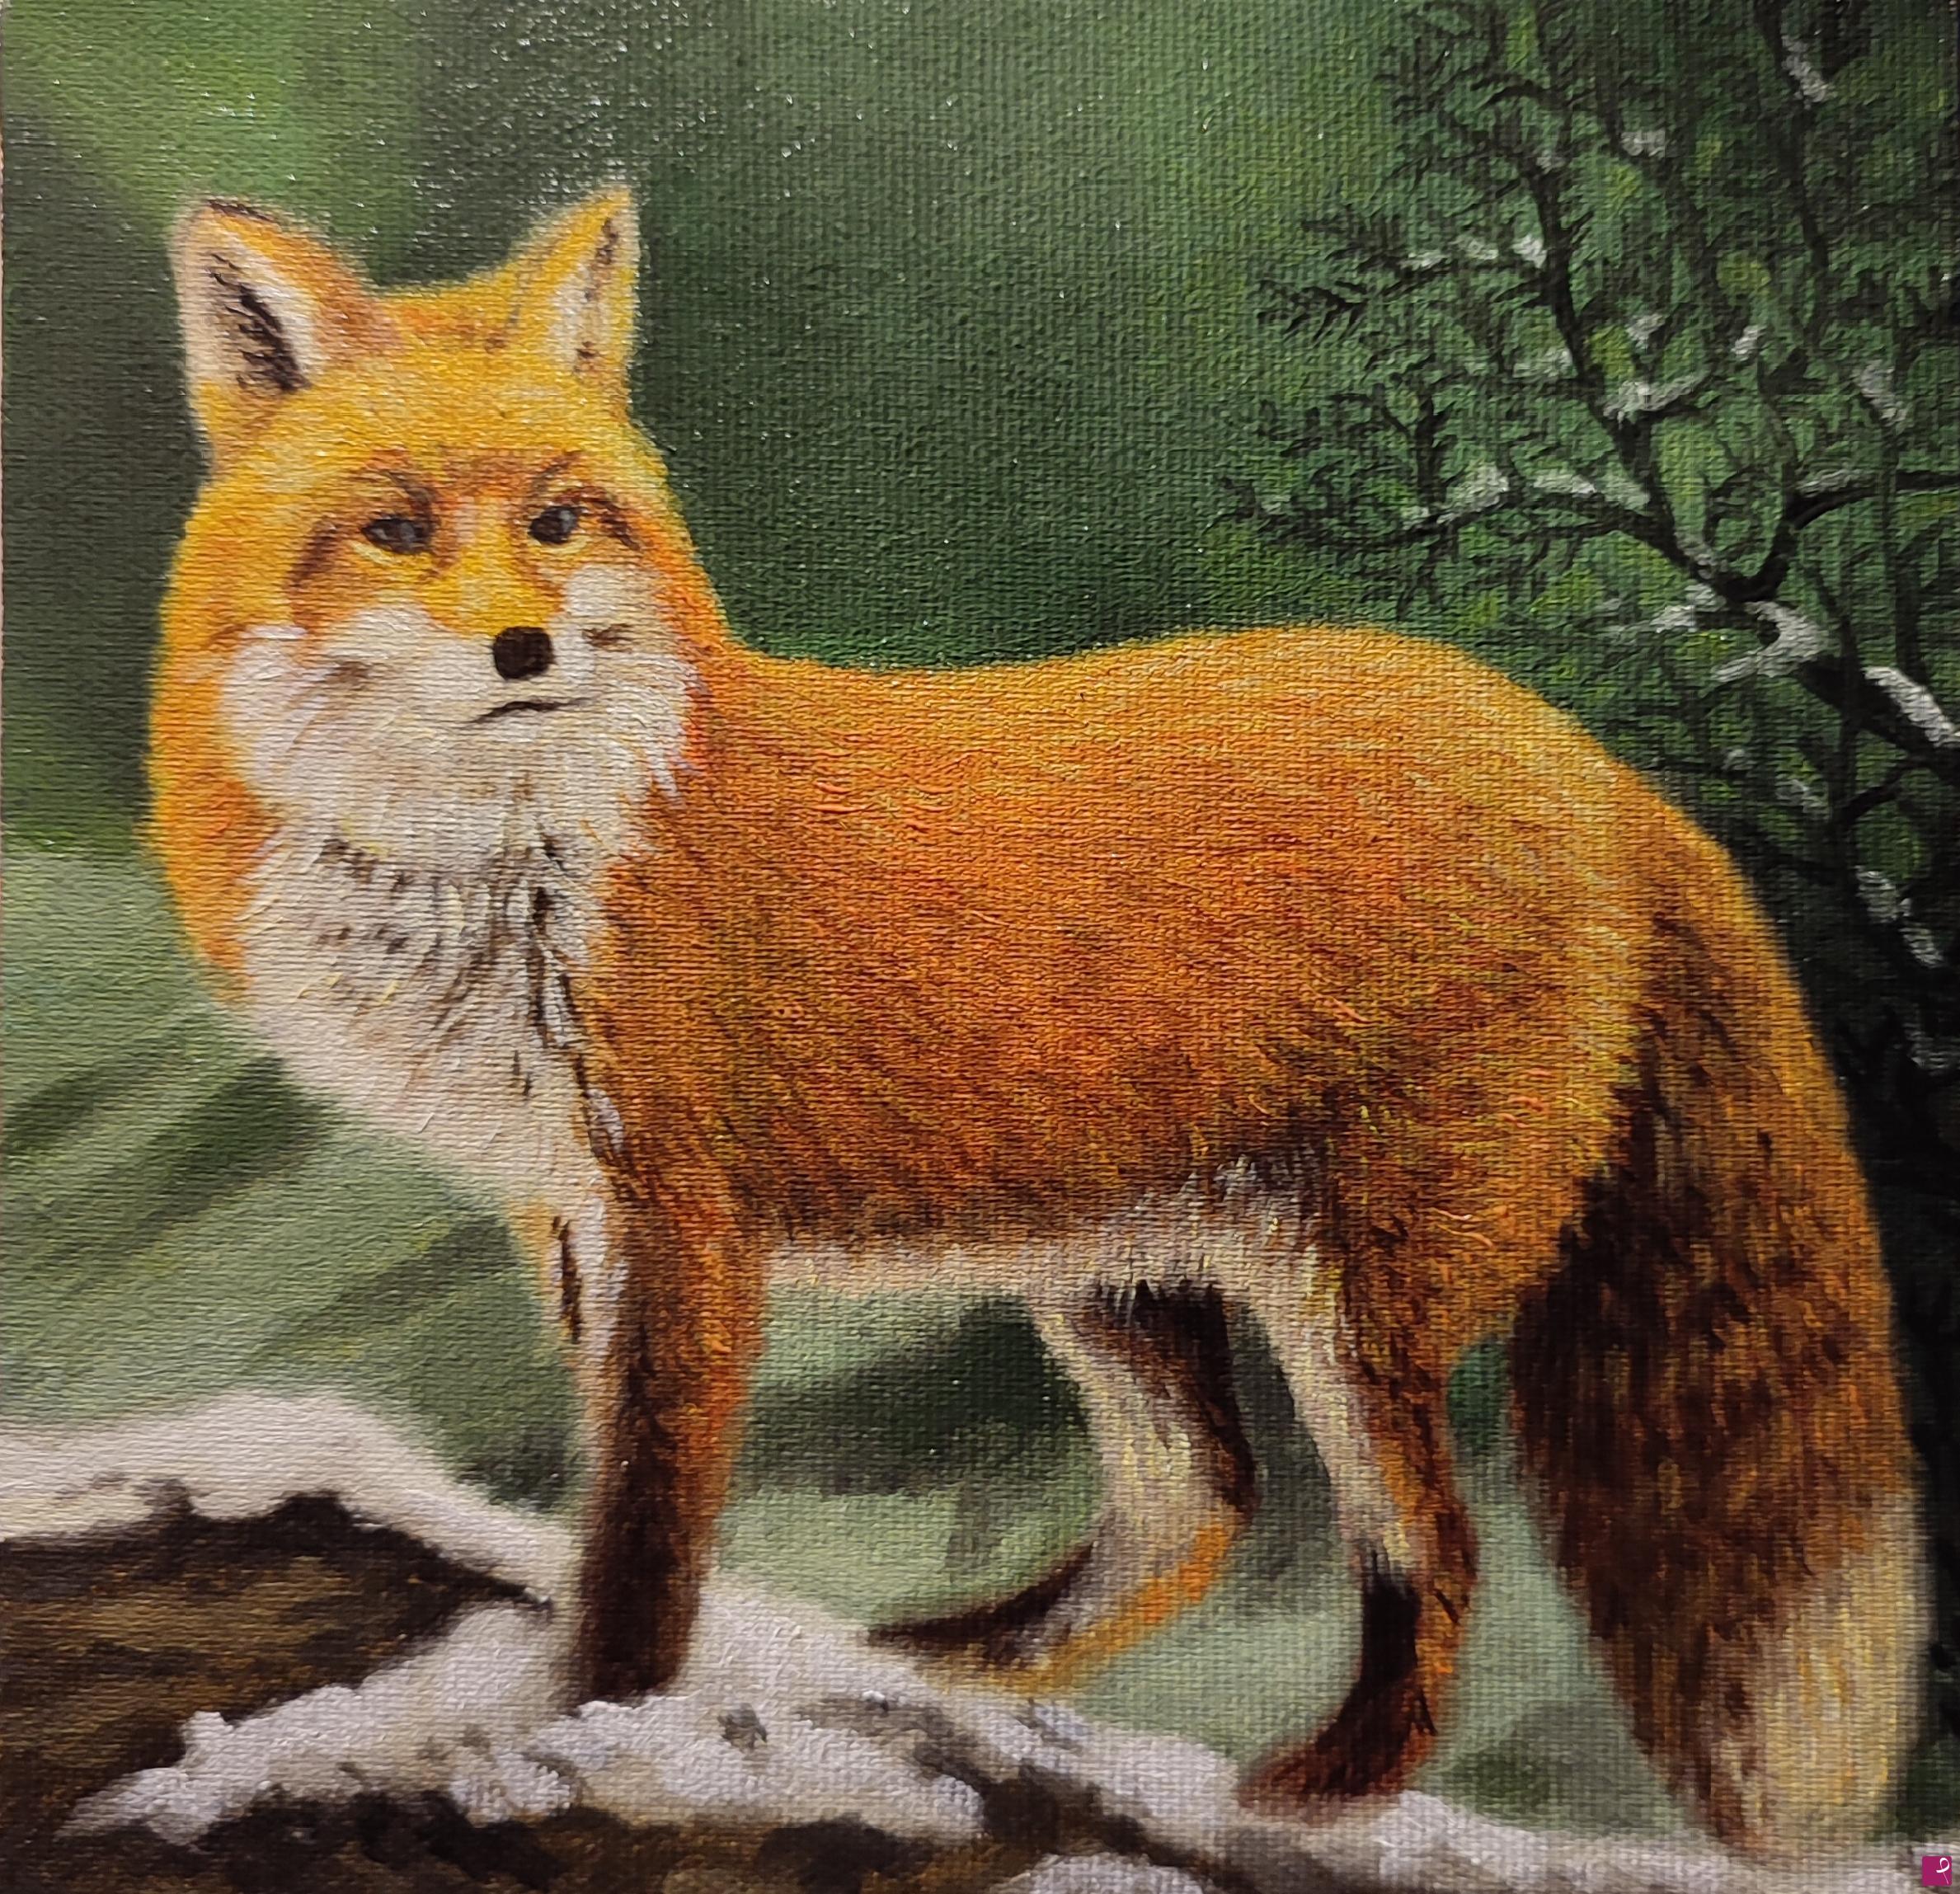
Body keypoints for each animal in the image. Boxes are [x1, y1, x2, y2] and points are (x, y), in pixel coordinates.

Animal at [149, 187, 1924, 1861]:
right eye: (393, 530)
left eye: (557, 519)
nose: (523, 644)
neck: (506, 859)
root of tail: (1589, 761)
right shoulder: (568, 1212)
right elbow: (607, 1497)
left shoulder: (684, 1216)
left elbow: (646, 1532)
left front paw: (593, 1721)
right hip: (1119, 1270)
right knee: (1198, 1506)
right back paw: (964, 1669)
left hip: (1350, 1301)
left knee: (1429, 1542)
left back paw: (1339, 1780)